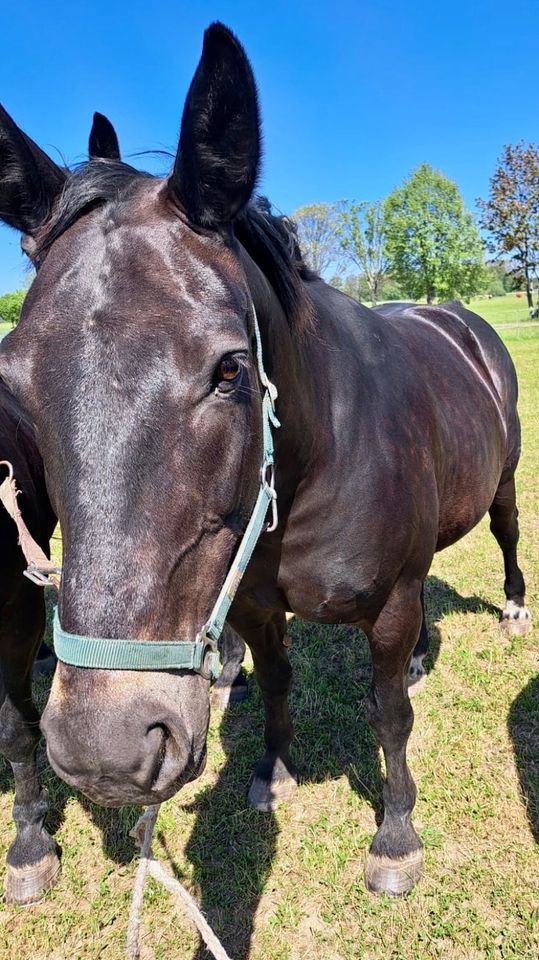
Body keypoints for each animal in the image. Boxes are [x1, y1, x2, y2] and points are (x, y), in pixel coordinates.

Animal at [0, 22, 532, 900]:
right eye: (13, 379)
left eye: (229, 370)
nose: (107, 748)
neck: (317, 467)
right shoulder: (250, 603)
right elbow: (279, 679)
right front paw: (272, 770)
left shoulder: (389, 604)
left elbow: (388, 714)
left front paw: (395, 837)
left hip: (504, 484)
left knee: (506, 532)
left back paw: (513, 605)